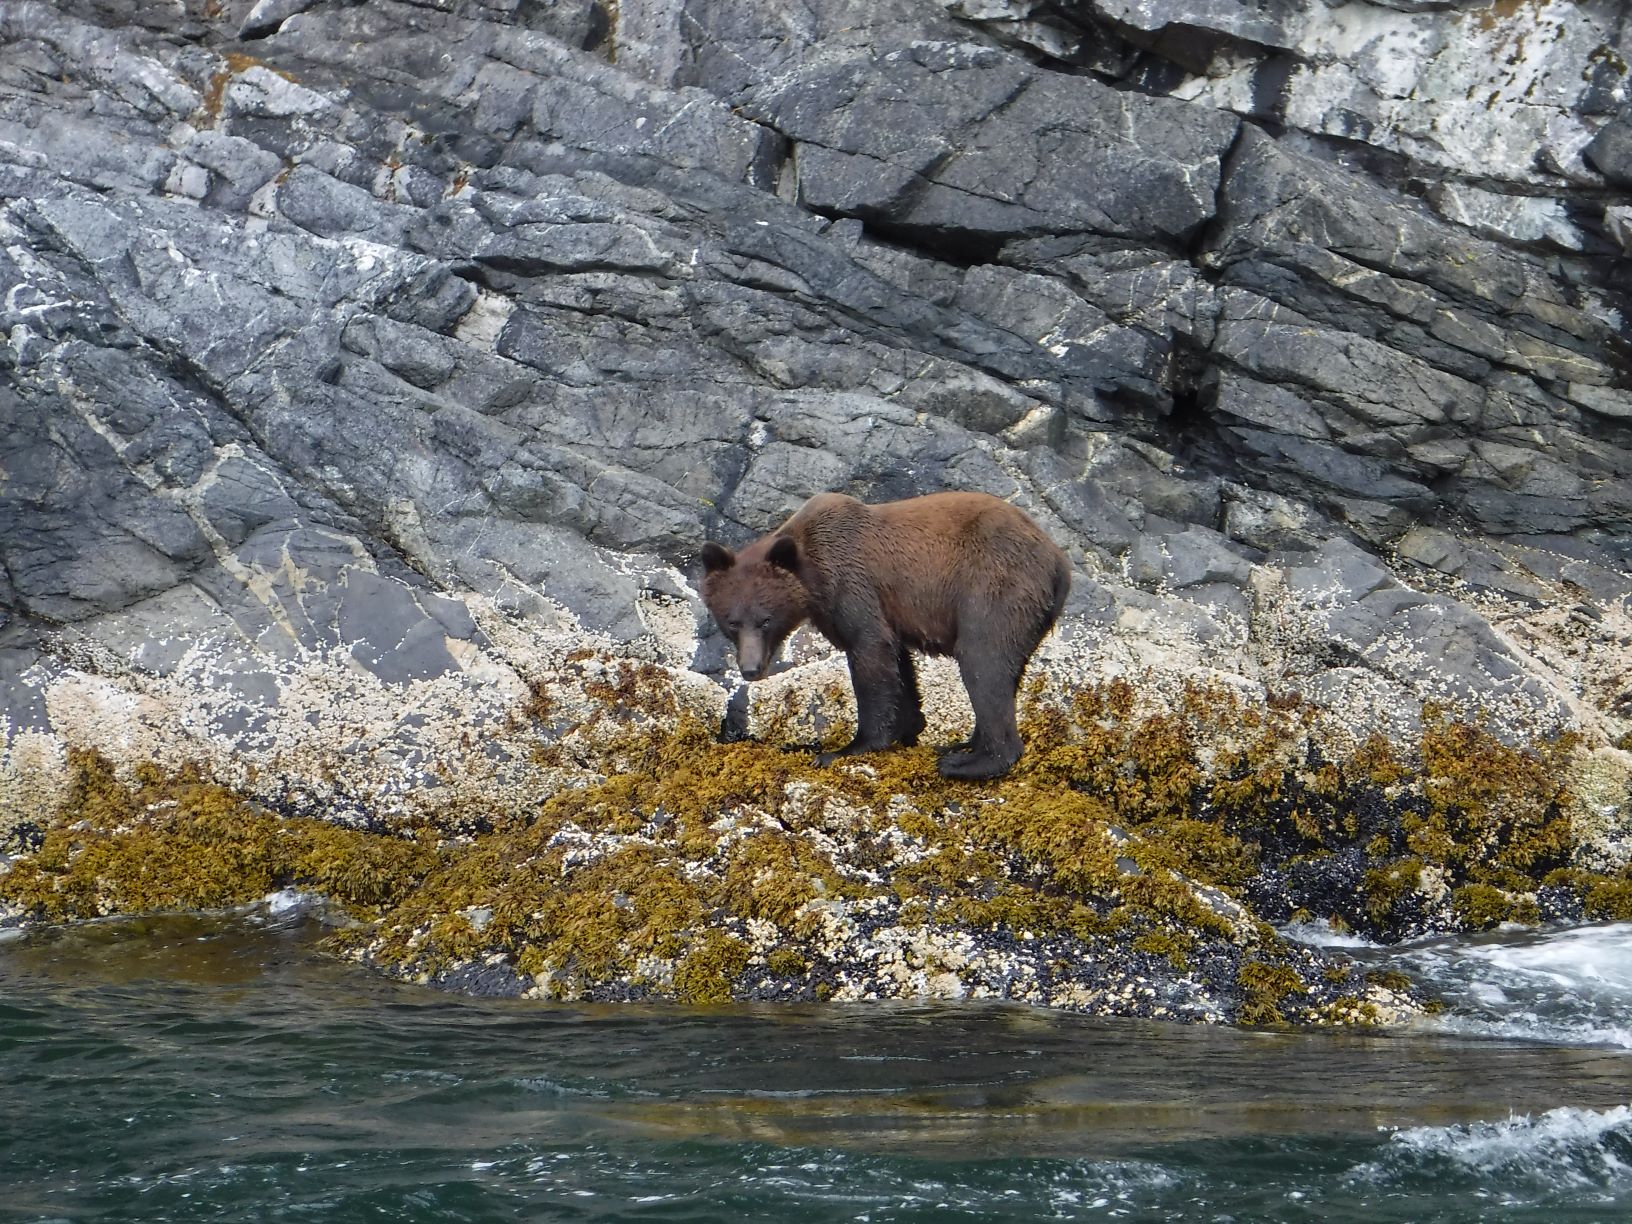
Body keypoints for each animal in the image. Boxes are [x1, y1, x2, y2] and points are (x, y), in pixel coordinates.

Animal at [701, 492, 1070, 780]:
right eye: (732, 622)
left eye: (765, 620)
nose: (750, 669)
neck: (813, 578)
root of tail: (1059, 562)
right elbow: (898, 661)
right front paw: (907, 726)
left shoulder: (852, 585)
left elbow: (870, 651)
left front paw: (848, 748)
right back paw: (963, 744)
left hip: (996, 586)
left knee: (983, 660)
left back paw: (969, 763)